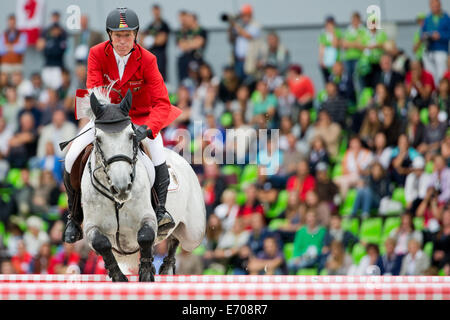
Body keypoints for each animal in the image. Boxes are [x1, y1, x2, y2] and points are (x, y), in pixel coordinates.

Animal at [80, 87, 207, 280]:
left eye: (131, 136)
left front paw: (146, 273)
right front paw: (118, 276)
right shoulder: (91, 227)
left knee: (178, 238)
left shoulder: (148, 217)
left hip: (194, 233)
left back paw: (166, 266)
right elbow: (101, 243)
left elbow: (146, 236)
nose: (122, 187)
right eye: (98, 139)